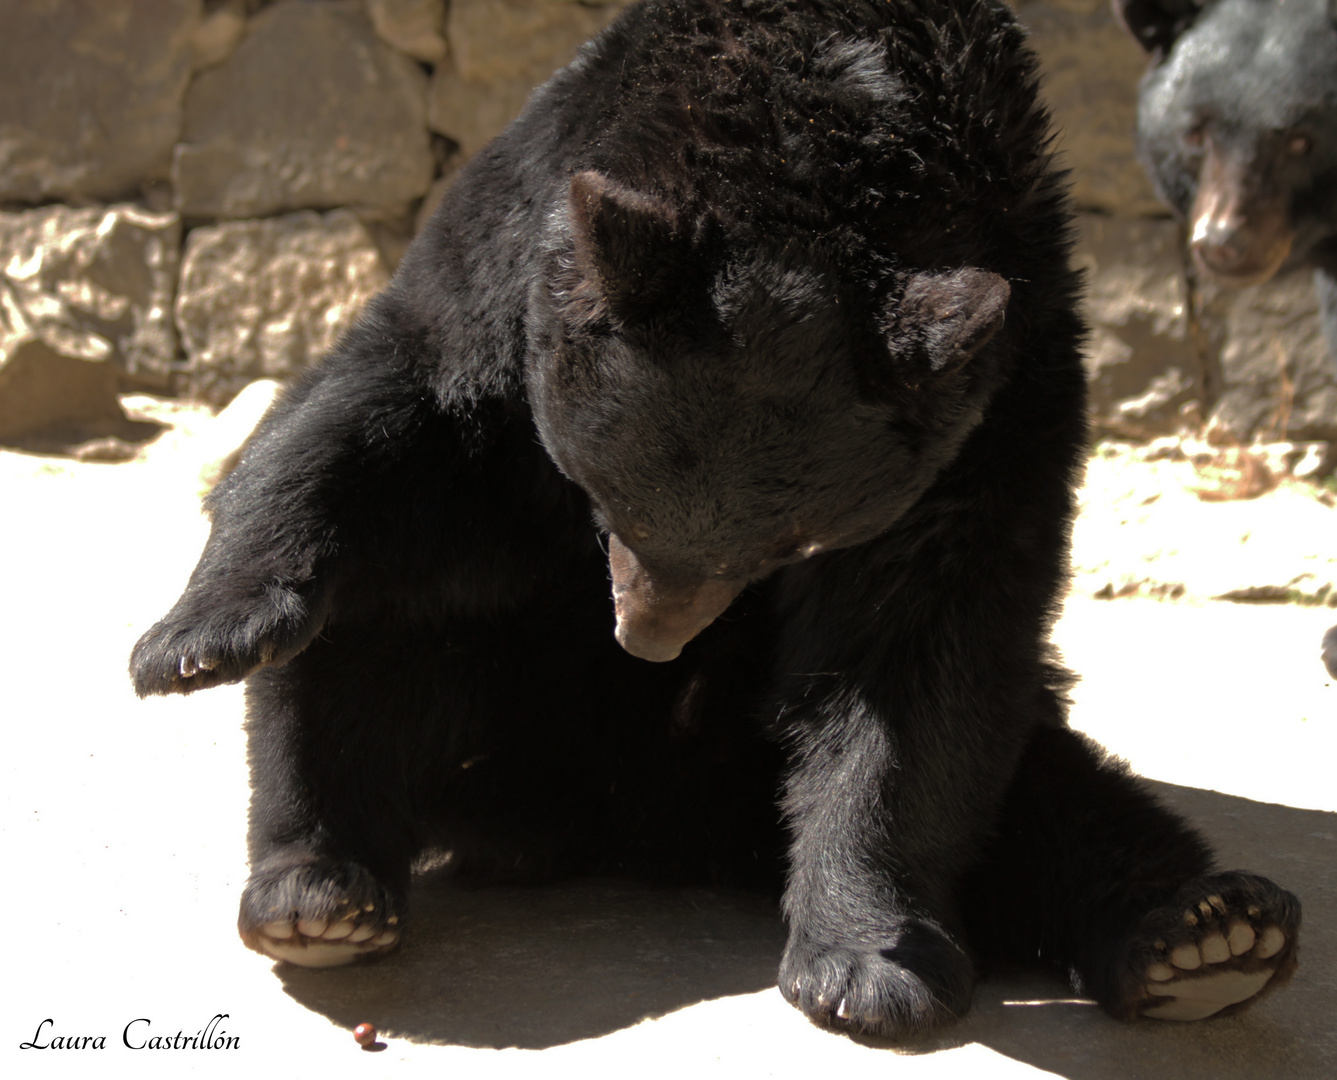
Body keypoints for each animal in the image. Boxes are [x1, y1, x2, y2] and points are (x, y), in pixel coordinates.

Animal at [130, 0, 1299, 1037]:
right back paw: (318, 891)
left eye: (794, 542)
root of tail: (627, 824)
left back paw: (1201, 932)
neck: (819, 128)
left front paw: (866, 966)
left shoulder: (1006, 390)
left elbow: (922, 645)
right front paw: (194, 638)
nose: (645, 641)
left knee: (1063, 799)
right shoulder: (511, 248)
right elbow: (380, 407)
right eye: (602, 498)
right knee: (358, 655)